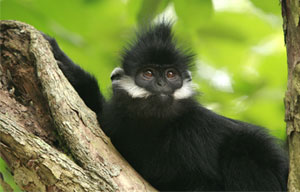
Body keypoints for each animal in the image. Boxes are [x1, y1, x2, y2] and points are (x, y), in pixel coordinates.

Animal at [42, 22, 288, 190]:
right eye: (148, 74)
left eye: (171, 75)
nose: (161, 84)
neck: (154, 127)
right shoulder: (114, 124)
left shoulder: (195, 130)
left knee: (245, 145)